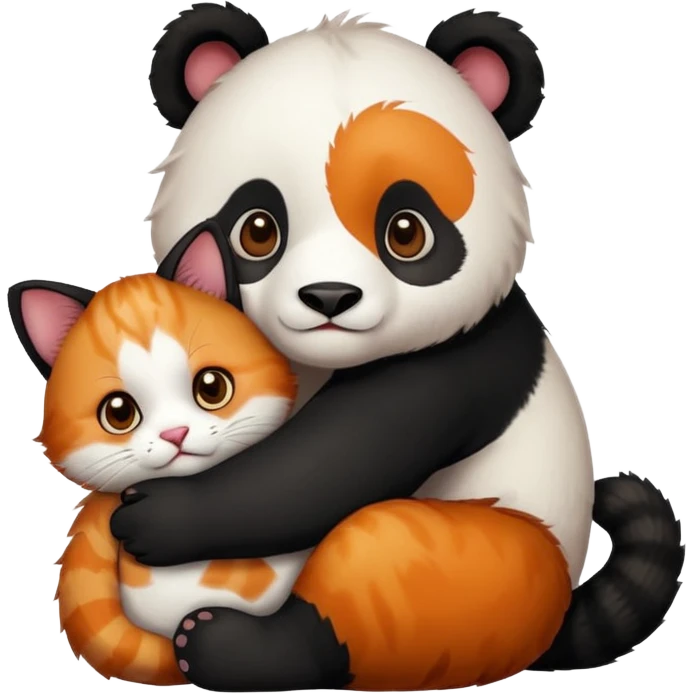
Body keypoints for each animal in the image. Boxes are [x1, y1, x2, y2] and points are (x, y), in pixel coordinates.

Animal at [112, 3, 685, 691]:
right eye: (257, 230)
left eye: (405, 233)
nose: (329, 297)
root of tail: (553, 624)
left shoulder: (466, 358)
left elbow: (334, 464)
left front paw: (154, 516)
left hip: (496, 567)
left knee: (387, 555)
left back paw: (231, 644)